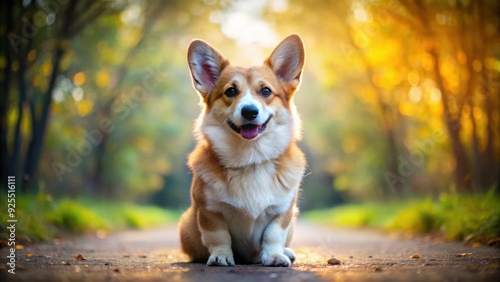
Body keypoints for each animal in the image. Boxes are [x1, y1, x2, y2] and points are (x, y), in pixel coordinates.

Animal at [178, 33, 306, 266]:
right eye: (230, 91)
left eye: (265, 91)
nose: (249, 111)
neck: (251, 159)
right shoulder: (209, 211)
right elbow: (219, 236)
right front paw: (220, 257)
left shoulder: (283, 211)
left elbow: (273, 234)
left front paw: (274, 256)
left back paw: (286, 252)